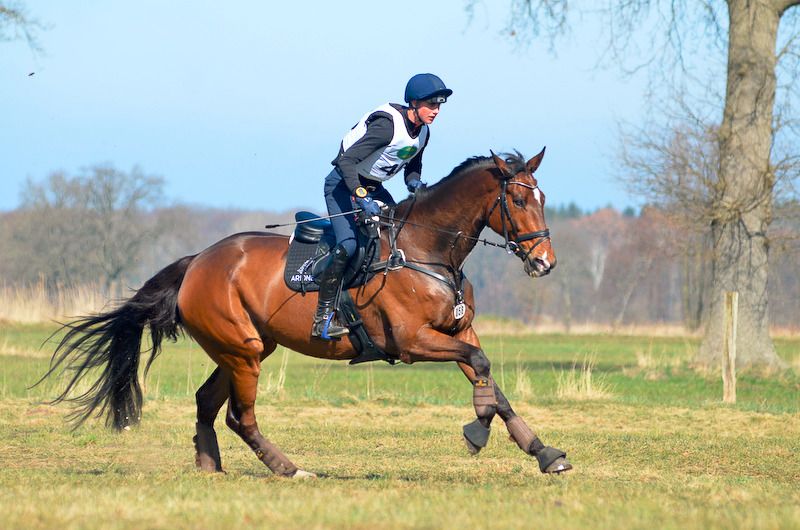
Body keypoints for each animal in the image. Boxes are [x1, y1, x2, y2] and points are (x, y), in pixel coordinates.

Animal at [43, 147, 572, 474]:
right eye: (518, 198)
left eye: (543, 197)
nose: (545, 262)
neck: (428, 251)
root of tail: (197, 261)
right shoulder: (413, 341)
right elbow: (483, 371)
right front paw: (476, 430)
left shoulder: (458, 332)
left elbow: (493, 383)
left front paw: (543, 452)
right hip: (243, 351)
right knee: (240, 416)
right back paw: (289, 469)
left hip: (245, 349)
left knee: (207, 403)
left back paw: (210, 466)